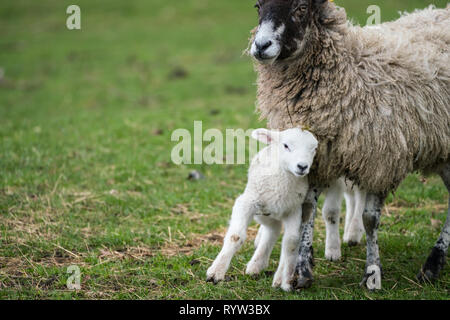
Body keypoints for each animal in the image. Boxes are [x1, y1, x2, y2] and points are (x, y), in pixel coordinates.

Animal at [206, 126, 318, 292]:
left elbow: (291, 243)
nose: (302, 166)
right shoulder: (246, 202)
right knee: (272, 229)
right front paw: (216, 272)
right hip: (264, 211)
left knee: (274, 231)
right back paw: (256, 264)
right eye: (286, 145)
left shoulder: (294, 210)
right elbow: (235, 237)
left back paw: (264, 268)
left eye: (314, 149)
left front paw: (286, 280)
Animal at [248, 0, 448, 290]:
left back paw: (433, 264)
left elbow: (370, 219)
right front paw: (302, 271)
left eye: (300, 8)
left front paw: (372, 273)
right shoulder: (318, 159)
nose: (261, 45)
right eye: (258, 6)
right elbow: (307, 211)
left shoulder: (382, 159)